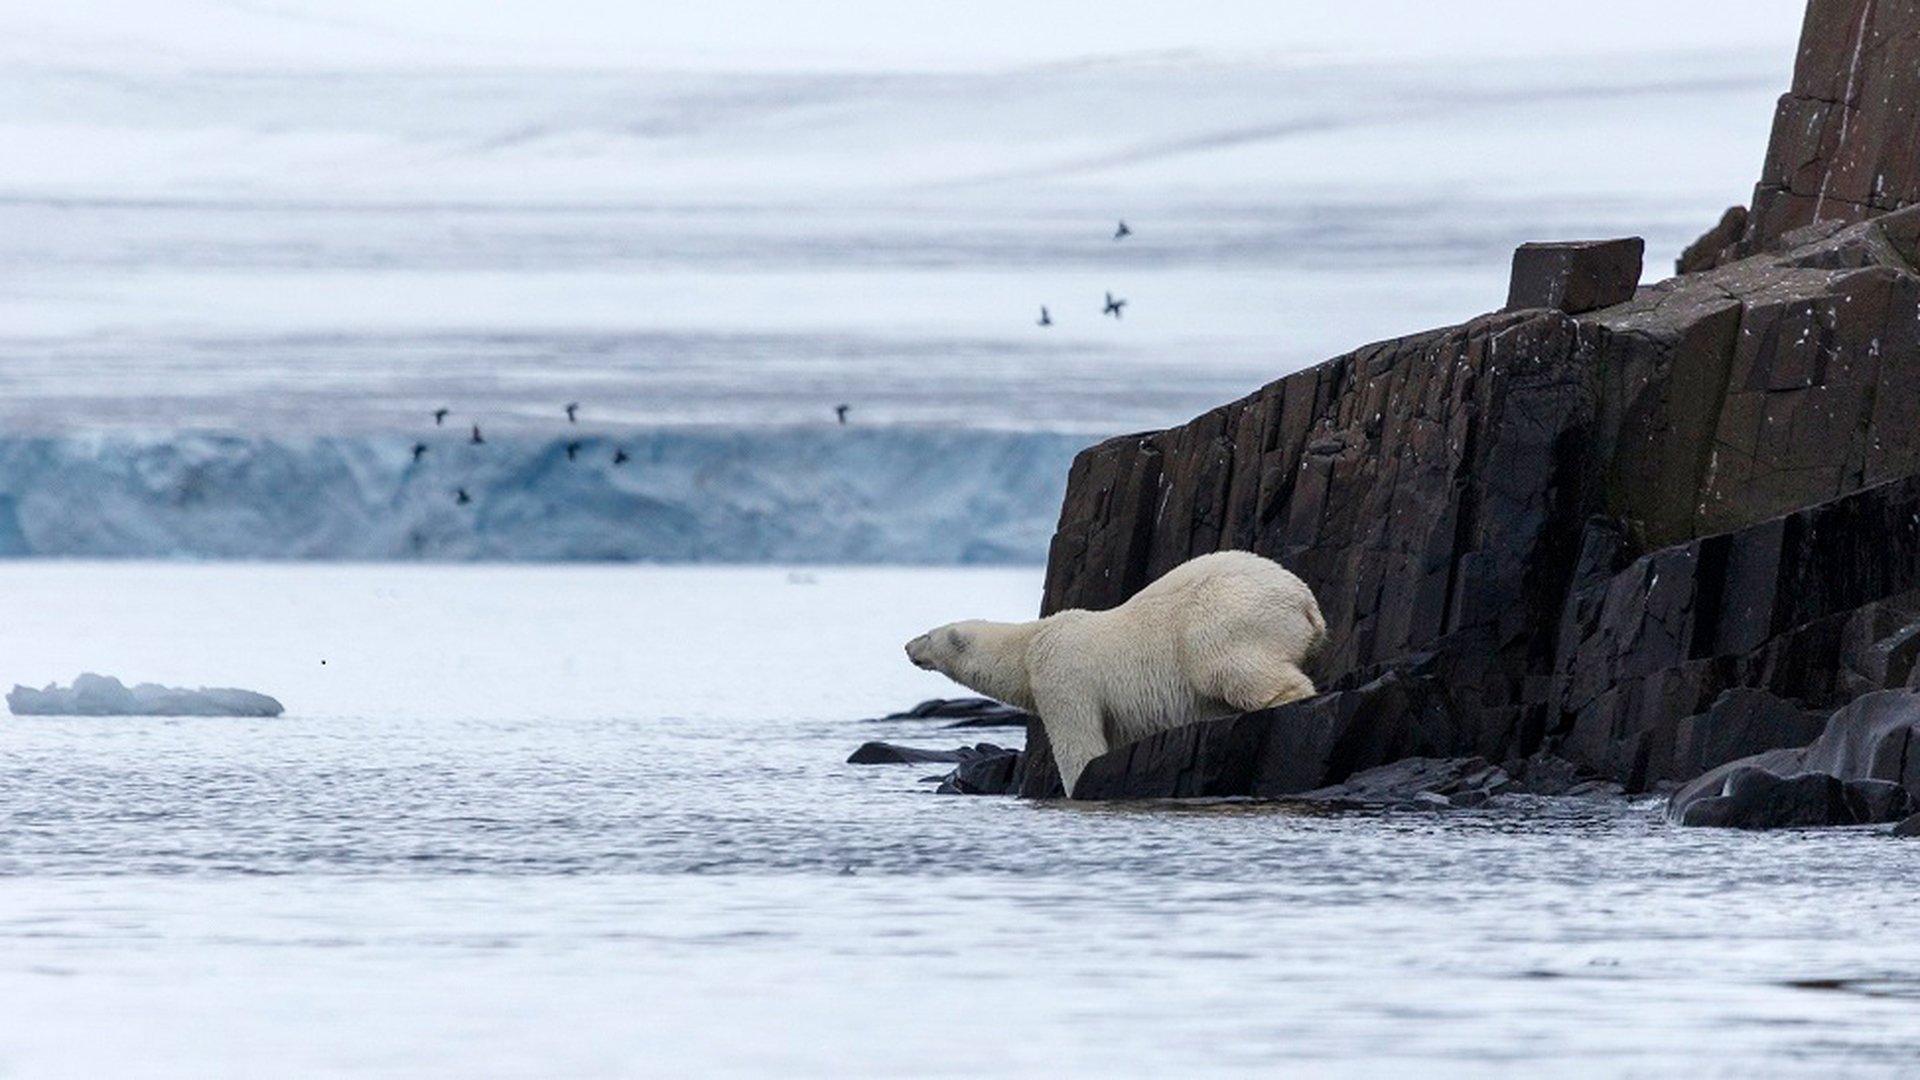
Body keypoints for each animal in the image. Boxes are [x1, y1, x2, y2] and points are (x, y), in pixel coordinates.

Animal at [906, 545, 1328, 791]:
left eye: (928, 635)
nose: (908, 646)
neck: (1029, 644)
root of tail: (1306, 603)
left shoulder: (1063, 675)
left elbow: (1078, 741)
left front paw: (1076, 784)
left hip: (1227, 617)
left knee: (1227, 666)